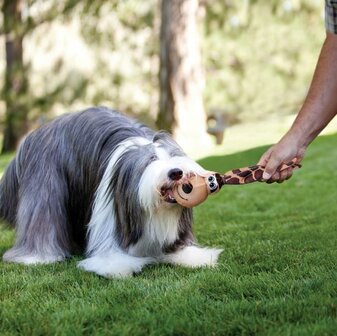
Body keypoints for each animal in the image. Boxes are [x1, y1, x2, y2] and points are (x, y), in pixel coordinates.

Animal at [0, 106, 222, 276]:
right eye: (151, 160)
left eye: (174, 156)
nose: (176, 172)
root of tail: (35, 135)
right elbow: (111, 254)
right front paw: (116, 265)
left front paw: (193, 256)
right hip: (46, 181)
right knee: (43, 217)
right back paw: (37, 256)